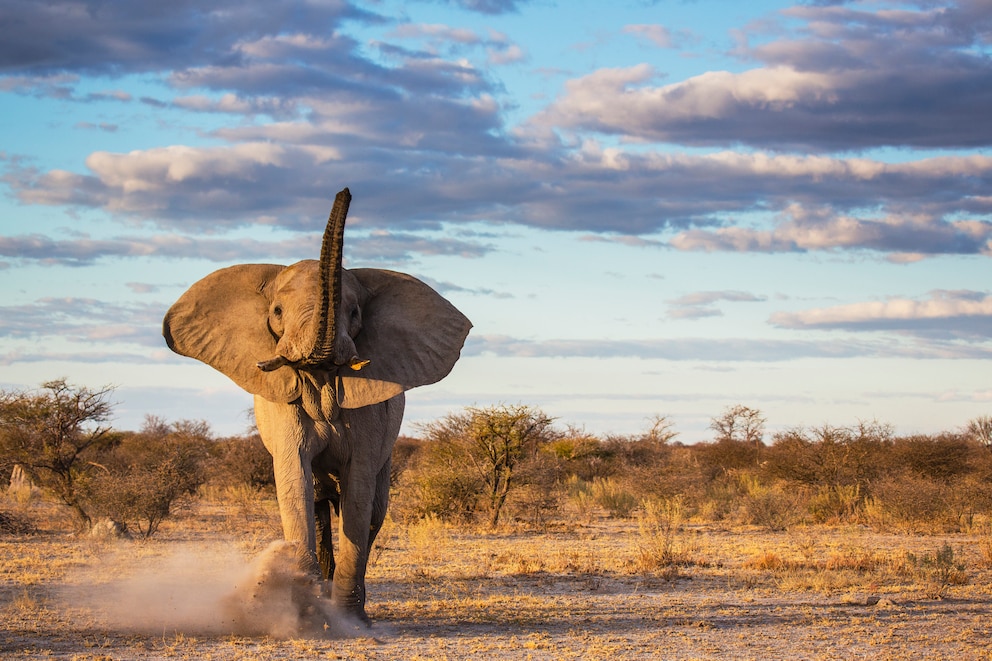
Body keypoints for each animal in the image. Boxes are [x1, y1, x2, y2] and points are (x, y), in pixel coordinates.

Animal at [163, 188, 472, 620]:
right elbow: (295, 484)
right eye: (277, 311)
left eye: (355, 312)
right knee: (319, 505)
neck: (320, 374)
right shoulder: (283, 407)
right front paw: (306, 613)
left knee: (373, 510)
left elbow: (359, 495)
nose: (345, 192)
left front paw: (348, 620)